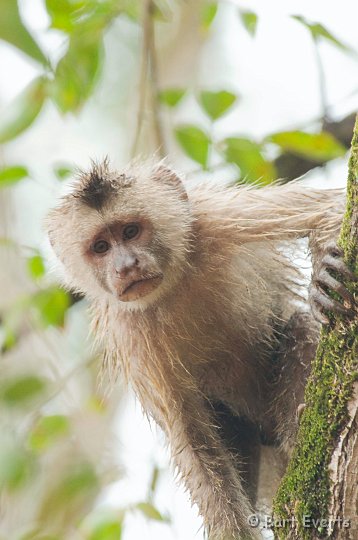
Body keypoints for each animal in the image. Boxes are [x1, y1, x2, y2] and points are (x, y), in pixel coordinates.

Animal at [46, 160, 356, 540]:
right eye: (101, 247)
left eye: (131, 231)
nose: (126, 265)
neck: (173, 285)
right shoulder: (131, 332)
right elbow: (194, 442)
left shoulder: (214, 217)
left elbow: (327, 210)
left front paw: (323, 277)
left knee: (300, 326)